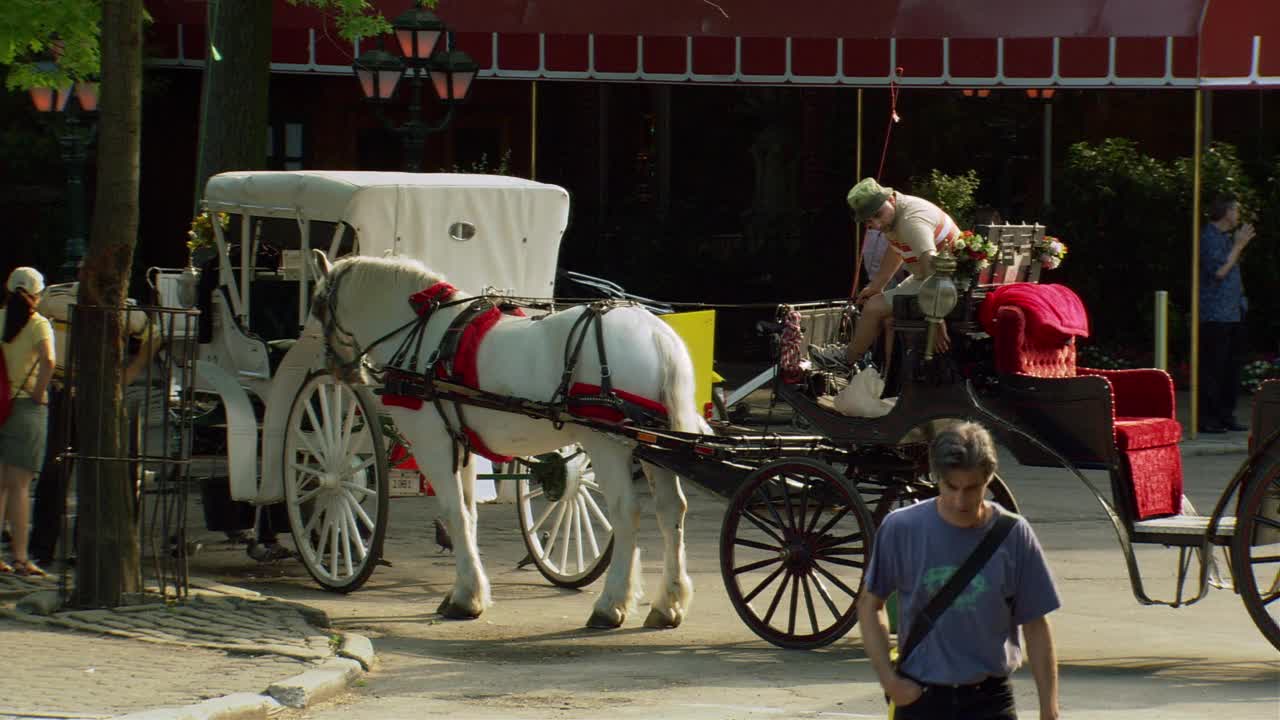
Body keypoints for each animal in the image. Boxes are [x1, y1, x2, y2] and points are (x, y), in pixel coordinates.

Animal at [309, 251, 711, 627]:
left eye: (317, 306)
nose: (339, 370)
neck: (423, 336)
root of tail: (656, 334)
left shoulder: (432, 444)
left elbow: (455, 513)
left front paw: (466, 598)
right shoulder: (462, 444)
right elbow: (468, 514)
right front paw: (465, 588)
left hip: (609, 443)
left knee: (626, 513)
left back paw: (611, 605)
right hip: (655, 445)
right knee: (671, 511)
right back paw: (668, 603)